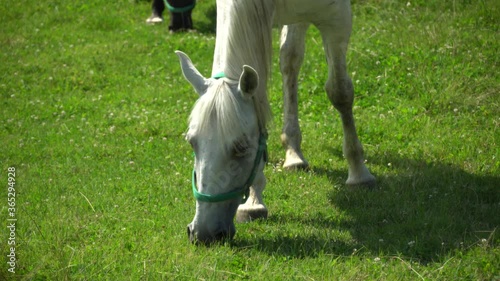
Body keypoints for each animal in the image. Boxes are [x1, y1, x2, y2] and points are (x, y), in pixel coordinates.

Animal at [176, 0, 376, 243]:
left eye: (241, 147)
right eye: (191, 142)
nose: (202, 233)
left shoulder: (338, 20)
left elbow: (340, 92)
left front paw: (358, 173)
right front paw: (253, 203)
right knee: (290, 58)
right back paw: (293, 153)